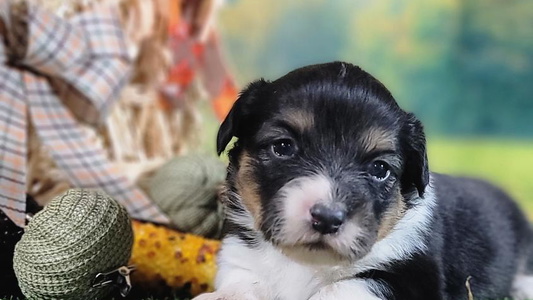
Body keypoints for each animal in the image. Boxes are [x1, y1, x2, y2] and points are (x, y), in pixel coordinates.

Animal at [193, 62, 532, 298]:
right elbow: (243, 286)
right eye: (283, 147)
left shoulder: (408, 277)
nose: (327, 219)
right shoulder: (240, 258)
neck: (306, 263)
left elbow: (340, 288)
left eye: (380, 168)